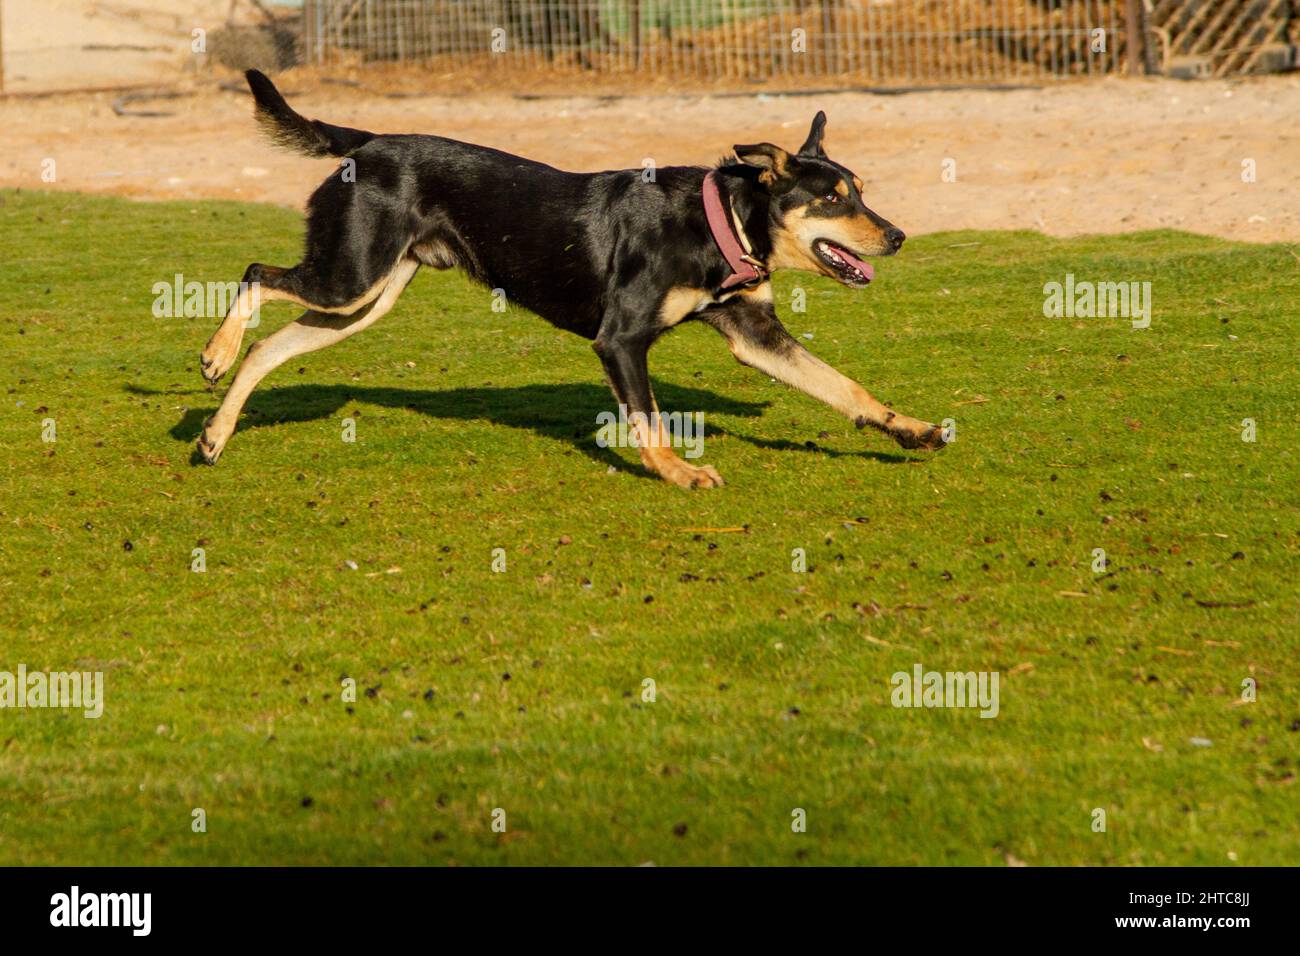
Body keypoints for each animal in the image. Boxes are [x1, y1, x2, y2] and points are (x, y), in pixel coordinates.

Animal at [197, 70, 946, 486]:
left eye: (861, 192)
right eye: (833, 199)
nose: (898, 236)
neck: (720, 220)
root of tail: (369, 142)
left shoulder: (751, 332)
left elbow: (842, 385)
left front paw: (910, 430)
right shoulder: (620, 342)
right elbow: (649, 423)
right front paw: (679, 475)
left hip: (366, 299)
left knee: (272, 345)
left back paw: (215, 433)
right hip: (350, 276)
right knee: (256, 274)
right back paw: (215, 354)